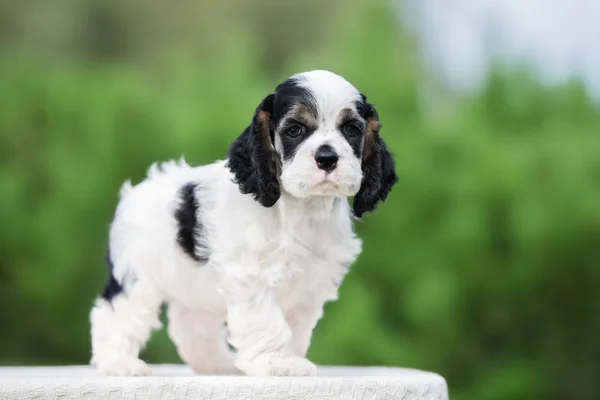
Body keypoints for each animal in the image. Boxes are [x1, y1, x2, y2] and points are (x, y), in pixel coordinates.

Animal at [89, 70, 398, 376]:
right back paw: (119, 363)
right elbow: (268, 321)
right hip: (137, 276)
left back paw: (215, 364)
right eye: (294, 130)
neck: (300, 209)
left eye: (352, 130)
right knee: (116, 314)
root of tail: (135, 192)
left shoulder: (308, 286)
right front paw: (279, 362)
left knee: (190, 325)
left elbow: (295, 326)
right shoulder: (250, 276)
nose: (327, 158)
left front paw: (291, 358)